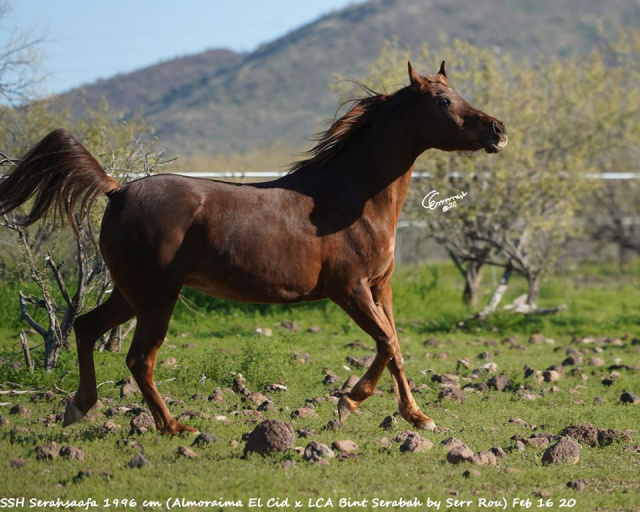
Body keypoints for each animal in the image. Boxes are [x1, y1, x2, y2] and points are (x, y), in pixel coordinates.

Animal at [1, 62, 510, 434]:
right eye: (444, 100)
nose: (498, 129)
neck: (354, 197)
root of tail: (117, 189)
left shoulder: (380, 287)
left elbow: (397, 347)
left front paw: (417, 416)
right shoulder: (349, 289)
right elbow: (385, 342)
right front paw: (348, 402)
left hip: (130, 294)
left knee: (86, 328)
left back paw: (79, 408)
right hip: (157, 297)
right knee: (139, 359)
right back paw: (173, 427)